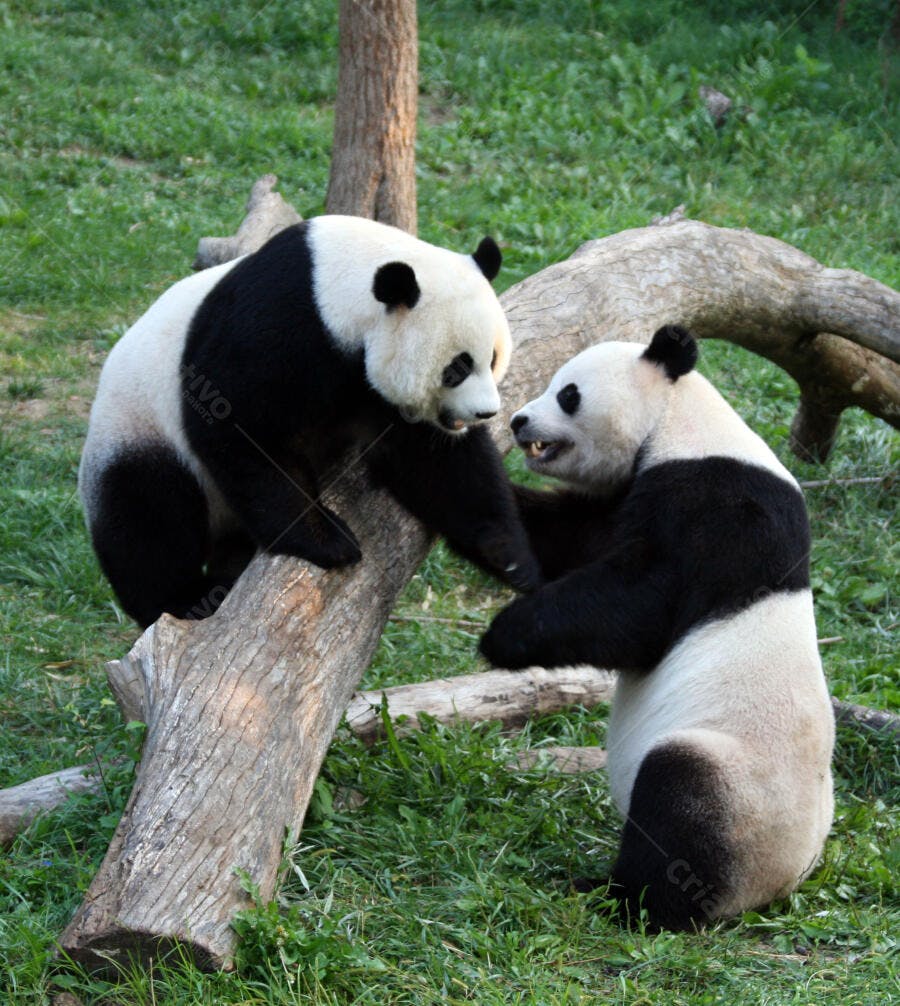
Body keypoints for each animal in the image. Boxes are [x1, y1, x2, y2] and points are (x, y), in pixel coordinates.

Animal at [79, 215, 542, 628]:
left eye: (493, 358)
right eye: (457, 367)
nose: (485, 413)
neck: (335, 287)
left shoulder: (374, 391)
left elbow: (439, 464)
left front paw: (509, 556)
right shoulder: (276, 328)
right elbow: (238, 428)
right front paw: (327, 541)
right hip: (135, 428)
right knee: (148, 518)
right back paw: (187, 598)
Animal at [479, 325, 834, 930]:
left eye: (568, 394)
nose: (520, 421)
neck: (679, 420)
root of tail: (780, 885)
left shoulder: (718, 511)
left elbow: (640, 606)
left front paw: (503, 635)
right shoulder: (620, 499)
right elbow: (564, 540)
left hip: (741, 791)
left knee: (680, 804)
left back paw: (620, 897)